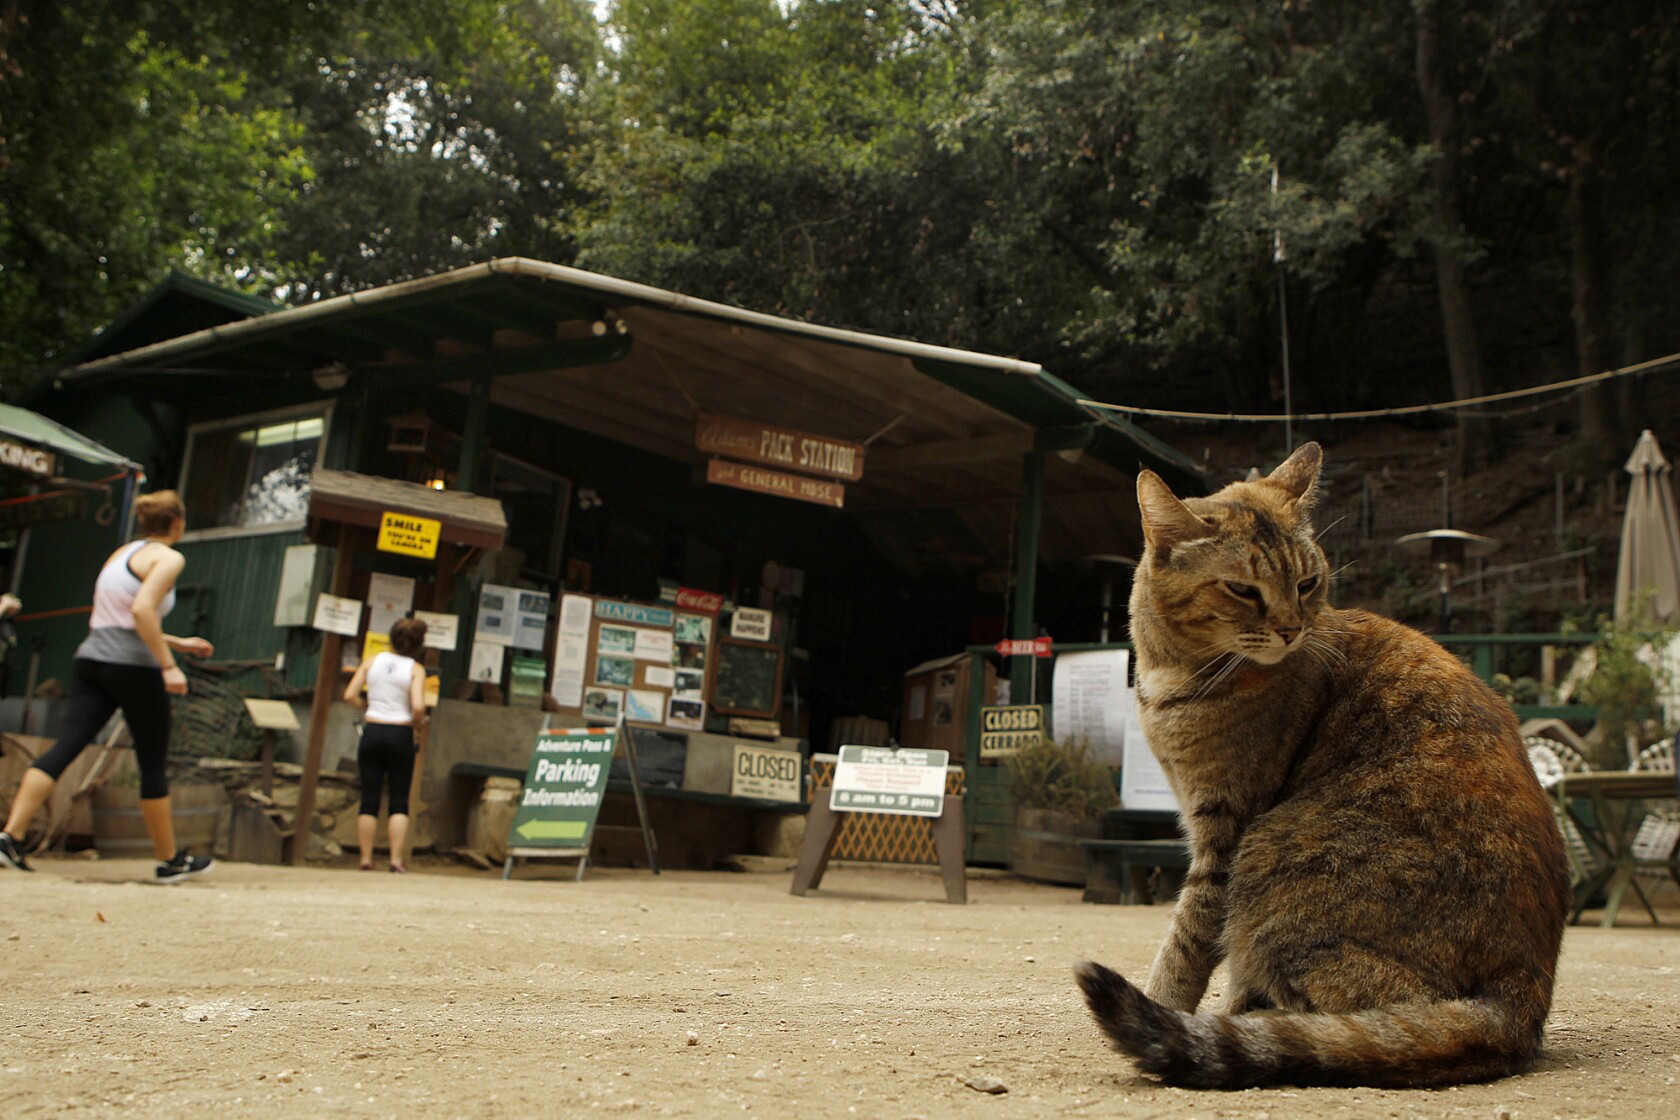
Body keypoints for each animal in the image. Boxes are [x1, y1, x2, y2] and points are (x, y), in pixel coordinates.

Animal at [1075, 443, 1572, 1088]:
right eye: (1242, 589)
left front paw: (1167, 1004)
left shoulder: (1224, 834)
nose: (1291, 628)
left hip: (1272, 859)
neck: (1176, 675)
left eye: (1307, 583)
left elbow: (1184, 945)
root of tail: (1521, 1002)